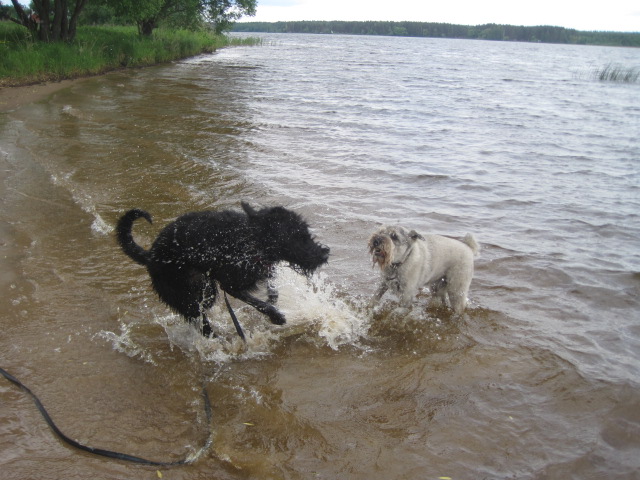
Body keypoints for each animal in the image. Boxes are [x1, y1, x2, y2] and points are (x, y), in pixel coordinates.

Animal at [117, 202, 330, 337]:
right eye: (297, 236)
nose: (325, 253)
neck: (251, 240)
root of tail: (150, 256)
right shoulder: (231, 284)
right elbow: (258, 302)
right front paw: (276, 316)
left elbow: (271, 285)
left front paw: (273, 297)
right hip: (187, 294)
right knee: (200, 321)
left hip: (206, 290)